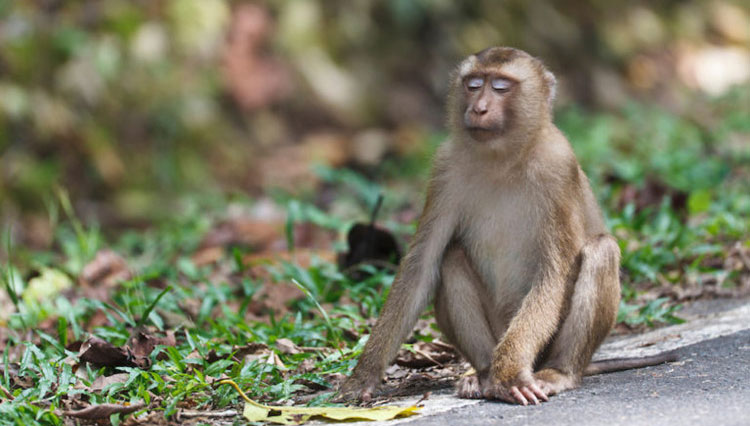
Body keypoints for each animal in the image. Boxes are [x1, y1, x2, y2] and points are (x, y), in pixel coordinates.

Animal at [337, 47, 677, 405]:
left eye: (501, 87)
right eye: (473, 84)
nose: (479, 108)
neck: (503, 157)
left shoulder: (558, 166)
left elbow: (553, 274)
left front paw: (510, 374)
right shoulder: (445, 167)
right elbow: (421, 267)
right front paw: (363, 377)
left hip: (544, 346)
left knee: (602, 250)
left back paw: (558, 372)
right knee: (451, 257)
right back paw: (484, 374)